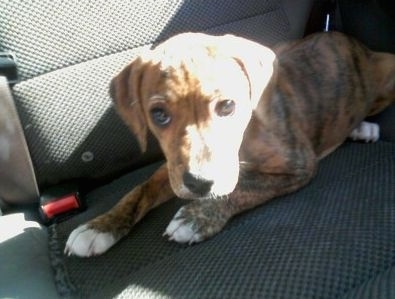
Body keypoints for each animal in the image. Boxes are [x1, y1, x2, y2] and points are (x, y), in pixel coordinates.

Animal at [65, 32, 395, 258]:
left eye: (227, 106)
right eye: (158, 114)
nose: (199, 184)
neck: (246, 136)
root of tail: (357, 44)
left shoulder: (300, 167)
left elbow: (244, 187)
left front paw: (196, 217)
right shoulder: (173, 168)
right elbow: (139, 189)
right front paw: (100, 226)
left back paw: (363, 127)